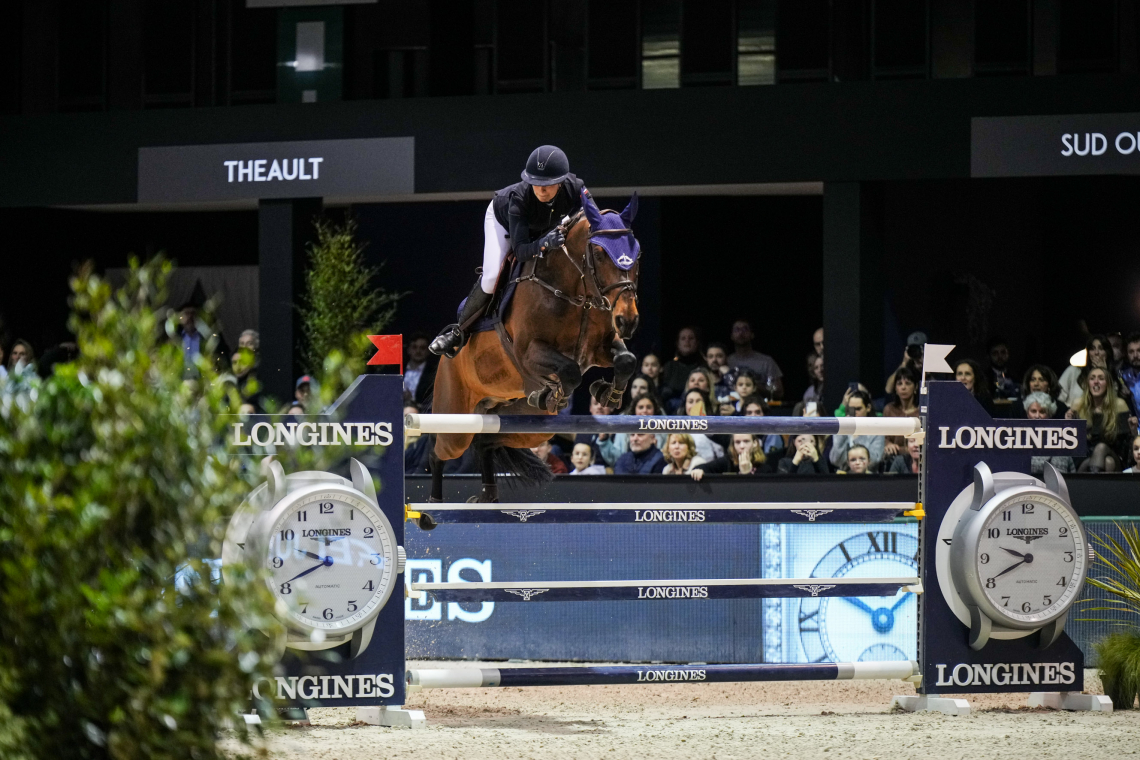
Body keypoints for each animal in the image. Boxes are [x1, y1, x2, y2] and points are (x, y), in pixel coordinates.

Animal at [428, 194, 642, 505]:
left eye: (637, 254)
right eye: (600, 253)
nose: (628, 320)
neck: (574, 292)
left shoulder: (600, 347)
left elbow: (626, 359)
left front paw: (606, 394)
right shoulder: (529, 354)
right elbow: (570, 370)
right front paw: (557, 393)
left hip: (528, 425)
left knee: (485, 441)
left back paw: (487, 496)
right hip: (455, 419)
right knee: (438, 452)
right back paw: (431, 506)